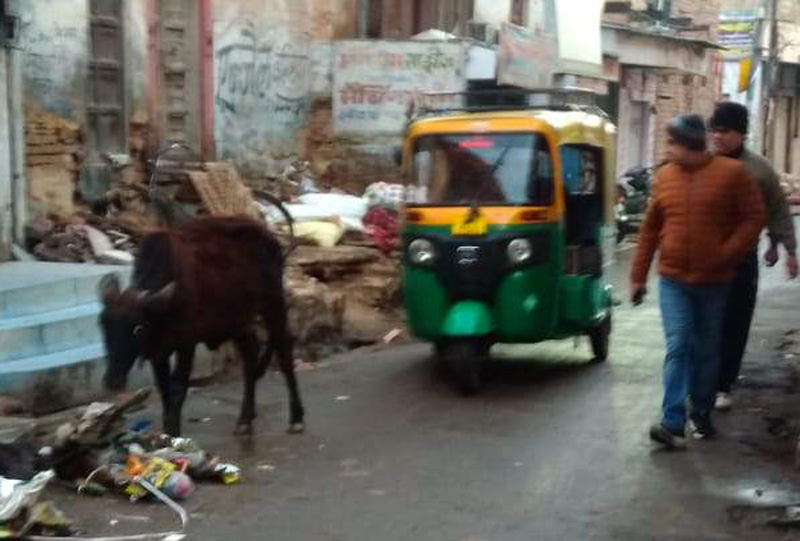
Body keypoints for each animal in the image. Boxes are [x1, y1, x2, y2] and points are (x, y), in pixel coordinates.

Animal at [97, 215, 304, 434]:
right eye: (103, 326)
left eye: (137, 328)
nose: (112, 382)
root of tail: (269, 237)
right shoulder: (158, 352)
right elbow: (164, 390)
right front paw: (167, 431)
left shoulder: (186, 344)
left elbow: (178, 388)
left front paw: (172, 432)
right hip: (239, 321)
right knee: (250, 358)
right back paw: (245, 419)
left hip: (273, 305)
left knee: (284, 351)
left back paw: (296, 417)